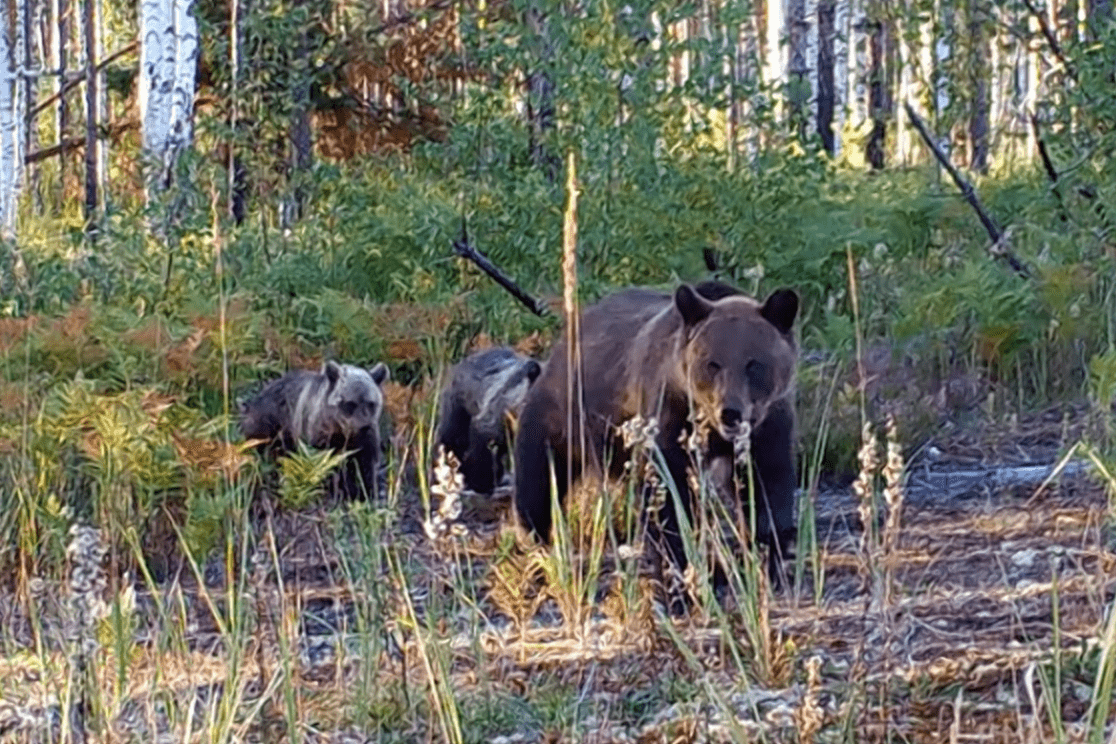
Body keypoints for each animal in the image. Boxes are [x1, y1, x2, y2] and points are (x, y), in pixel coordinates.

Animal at [513, 282, 803, 584]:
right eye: (712, 364)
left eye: (754, 364)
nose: (730, 412)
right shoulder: (668, 415)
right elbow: (666, 495)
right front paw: (677, 566)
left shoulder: (770, 426)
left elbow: (768, 491)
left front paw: (766, 561)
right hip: (563, 412)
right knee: (538, 475)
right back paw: (536, 544)